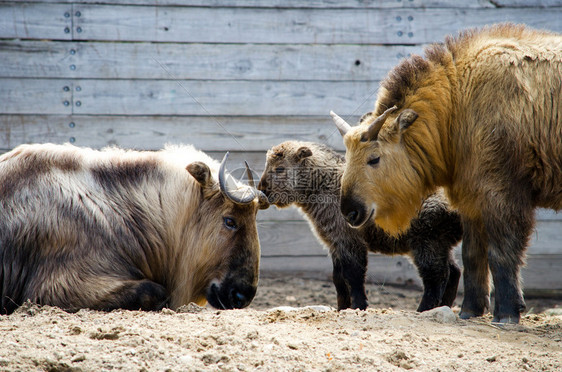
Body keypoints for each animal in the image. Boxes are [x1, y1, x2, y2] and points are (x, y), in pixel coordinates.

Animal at [258, 140, 460, 310]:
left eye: (280, 168)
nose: (262, 191)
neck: (328, 183)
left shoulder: (349, 240)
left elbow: (353, 275)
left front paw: (358, 306)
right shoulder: (335, 242)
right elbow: (338, 278)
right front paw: (342, 308)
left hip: (427, 242)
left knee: (436, 277)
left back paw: (423, 310)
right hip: (439, 243)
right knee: (453, 272)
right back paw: (444, 307)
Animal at [332, 23, 560, 322]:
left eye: (374, 159)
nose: (350, 212)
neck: (457, 101)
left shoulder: (502, 194)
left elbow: (501, 254)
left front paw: (508, 312)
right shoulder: (473, 197)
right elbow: (472, 255)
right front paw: (470, 311)